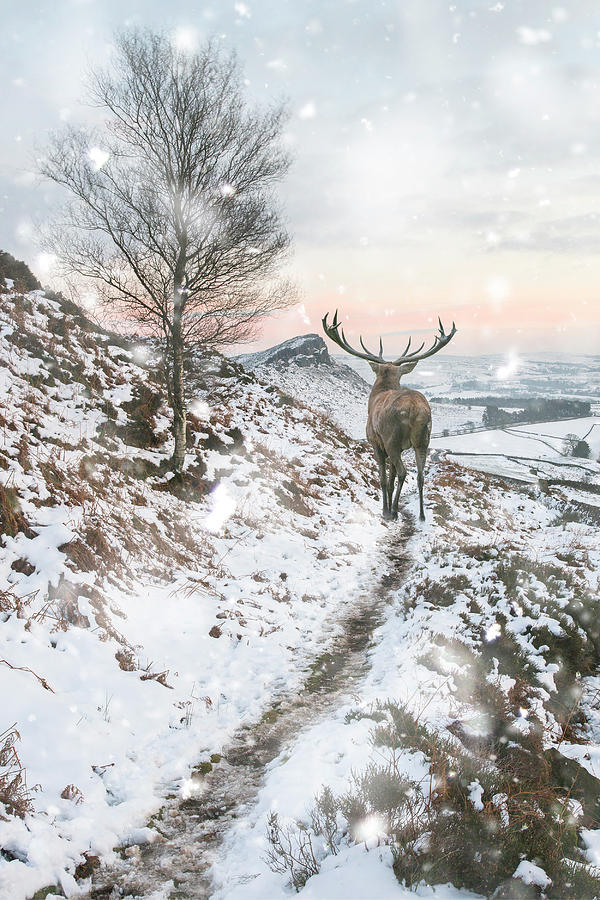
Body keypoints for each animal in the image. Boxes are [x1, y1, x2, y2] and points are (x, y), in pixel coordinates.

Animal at [322, 312, 458, 520]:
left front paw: (385, 509)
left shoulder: (376, 443)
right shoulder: (401, 447)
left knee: (403, 472)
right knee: (420, 475)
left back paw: (392, 511)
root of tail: (415, 408)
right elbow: (392, 479)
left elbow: (384, 479)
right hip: (423, 439)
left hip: (391, 439)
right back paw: (421, 515)